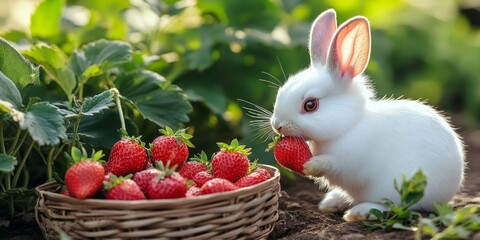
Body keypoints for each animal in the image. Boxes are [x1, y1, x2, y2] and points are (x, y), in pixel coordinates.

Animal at [268, 9, 464, 223]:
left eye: (310, 105)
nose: (277, 125)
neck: (349, 125)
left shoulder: (349, 161)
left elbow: (331, 163)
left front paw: (310, 166)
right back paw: (331, 202)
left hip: (398, 189)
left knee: (397, 206)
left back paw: (358, 213)